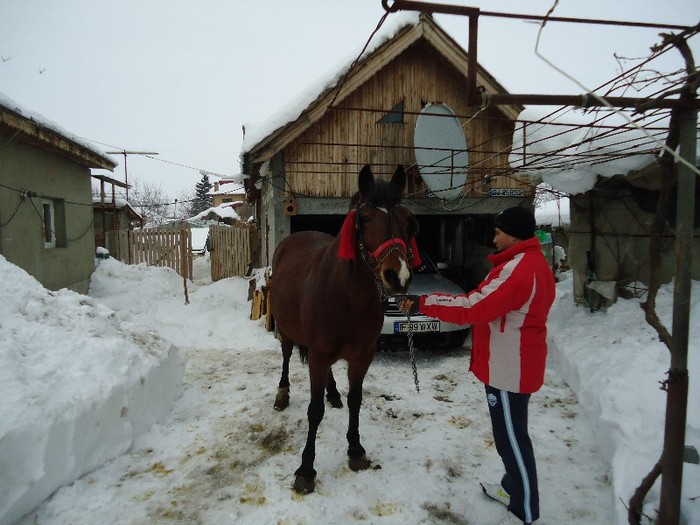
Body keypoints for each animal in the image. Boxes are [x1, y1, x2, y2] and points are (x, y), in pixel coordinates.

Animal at [270, 164, 418, 492]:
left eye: (407, 219)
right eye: (366, 218)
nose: (398, 277)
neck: (346, 295)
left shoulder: (362, 356)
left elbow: (356, 401)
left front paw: (355, 450)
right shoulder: (319, 355)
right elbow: (314, 411)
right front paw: (306, 469)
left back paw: (333, 392)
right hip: (287, 332)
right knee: (286, 355)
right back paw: (282, 394)